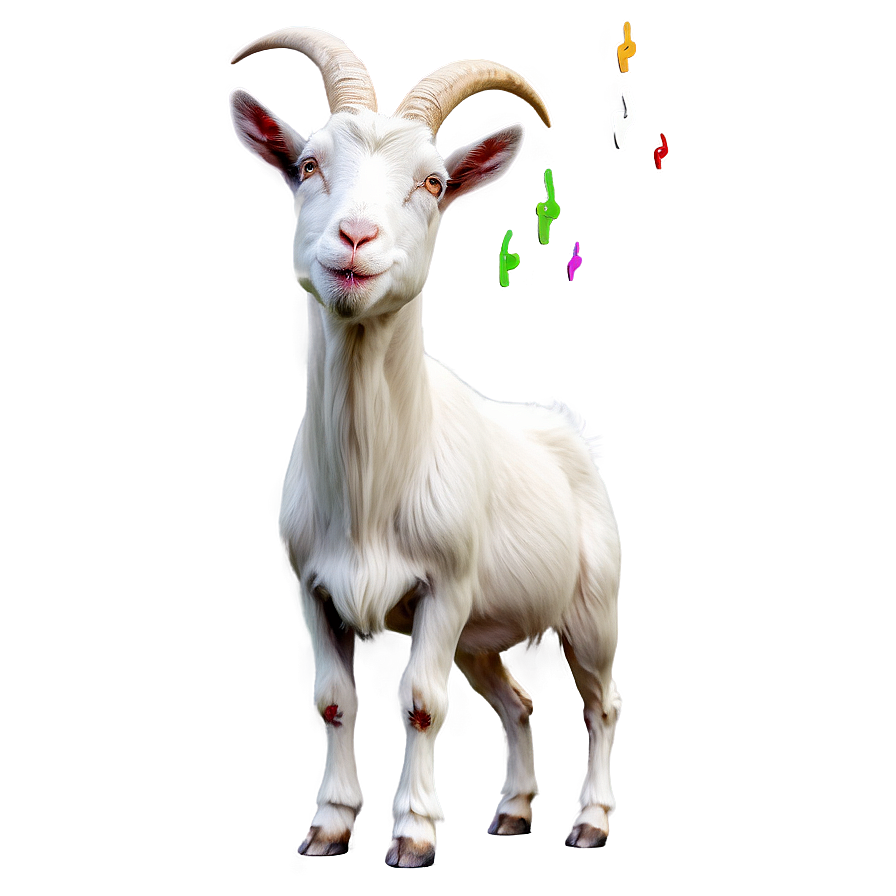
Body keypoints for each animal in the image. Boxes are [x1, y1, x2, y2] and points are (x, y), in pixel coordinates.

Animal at [230, 25, 622, 868]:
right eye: (306, 163)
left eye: (435, 183)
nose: (355, 239)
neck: (369, 488)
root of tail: (566, 427)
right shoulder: (312, 589)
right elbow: (332, 703)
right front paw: (330, 825)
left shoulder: (446, 587)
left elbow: (421, 705)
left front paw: (412, 834)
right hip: (485, 634)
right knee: (518, 703)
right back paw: (514, 811)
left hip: (592, 609)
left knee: (599, 706)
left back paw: (592, 821)